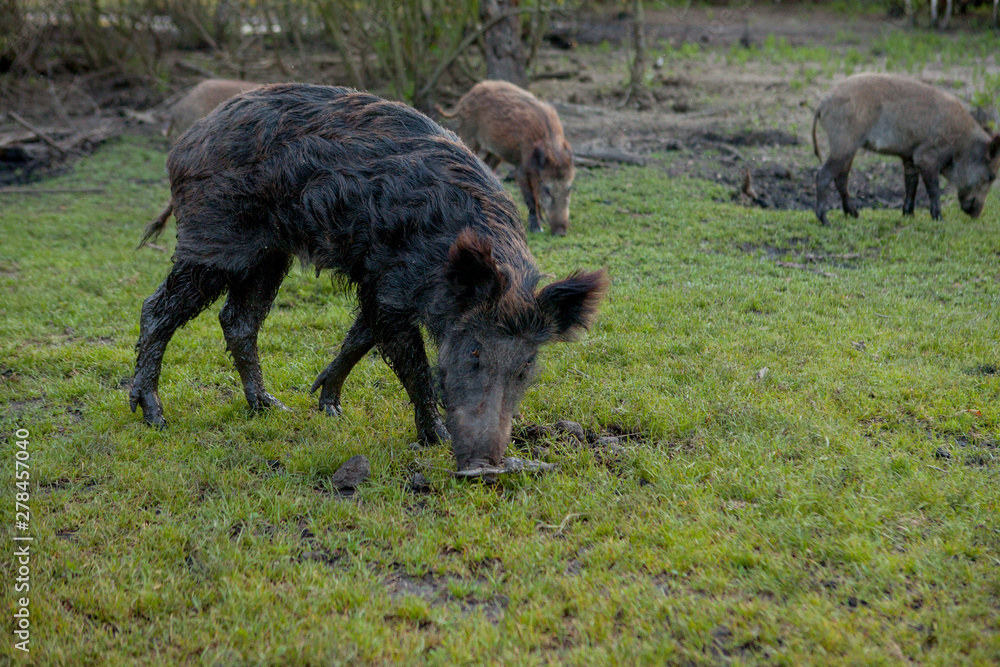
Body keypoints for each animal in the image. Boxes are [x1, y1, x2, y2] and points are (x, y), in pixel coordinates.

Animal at [437, 80, 576, 236]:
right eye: (547, 190)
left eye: (569, 189)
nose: (561, 232)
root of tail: (465, 98)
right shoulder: (521, 167)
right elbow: (530, 197)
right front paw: (536, 229)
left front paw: (542, 222)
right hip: (469, 134)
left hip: (496, 153)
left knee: (487, 164)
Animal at [812, 73, 1000, 224]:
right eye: (991, 176)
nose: (977, 214)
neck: (961, 145)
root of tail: (822, 104)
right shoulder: (926, 156)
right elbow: (934, 189)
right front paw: (940, 219)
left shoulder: (910, 157)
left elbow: (911, 184)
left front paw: (909, 215)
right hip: (843, 143)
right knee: (823, 174)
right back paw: (825, 221)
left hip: (848, 148)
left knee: (841, 178)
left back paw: (855, 215)